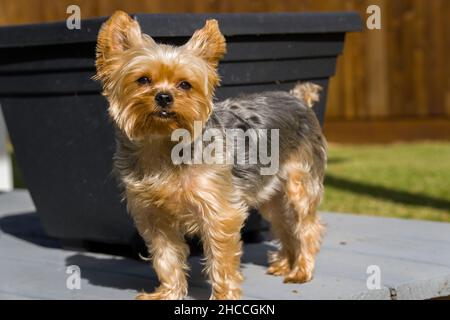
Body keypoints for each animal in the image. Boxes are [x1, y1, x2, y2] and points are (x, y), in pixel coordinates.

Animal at [95, 10, 326, 300]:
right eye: (143, 80)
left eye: (185, 84)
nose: (164, 97)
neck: (162, 145)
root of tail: (298, 98)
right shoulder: (154, 216)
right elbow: (166, 258)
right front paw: (168, 293)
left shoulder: (220, 212)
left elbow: (221, 262)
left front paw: (224, 297)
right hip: (270, 193)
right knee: (283, 224)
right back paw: (285, 264)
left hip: (300, 183)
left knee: (306, 226)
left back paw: (301, 271)